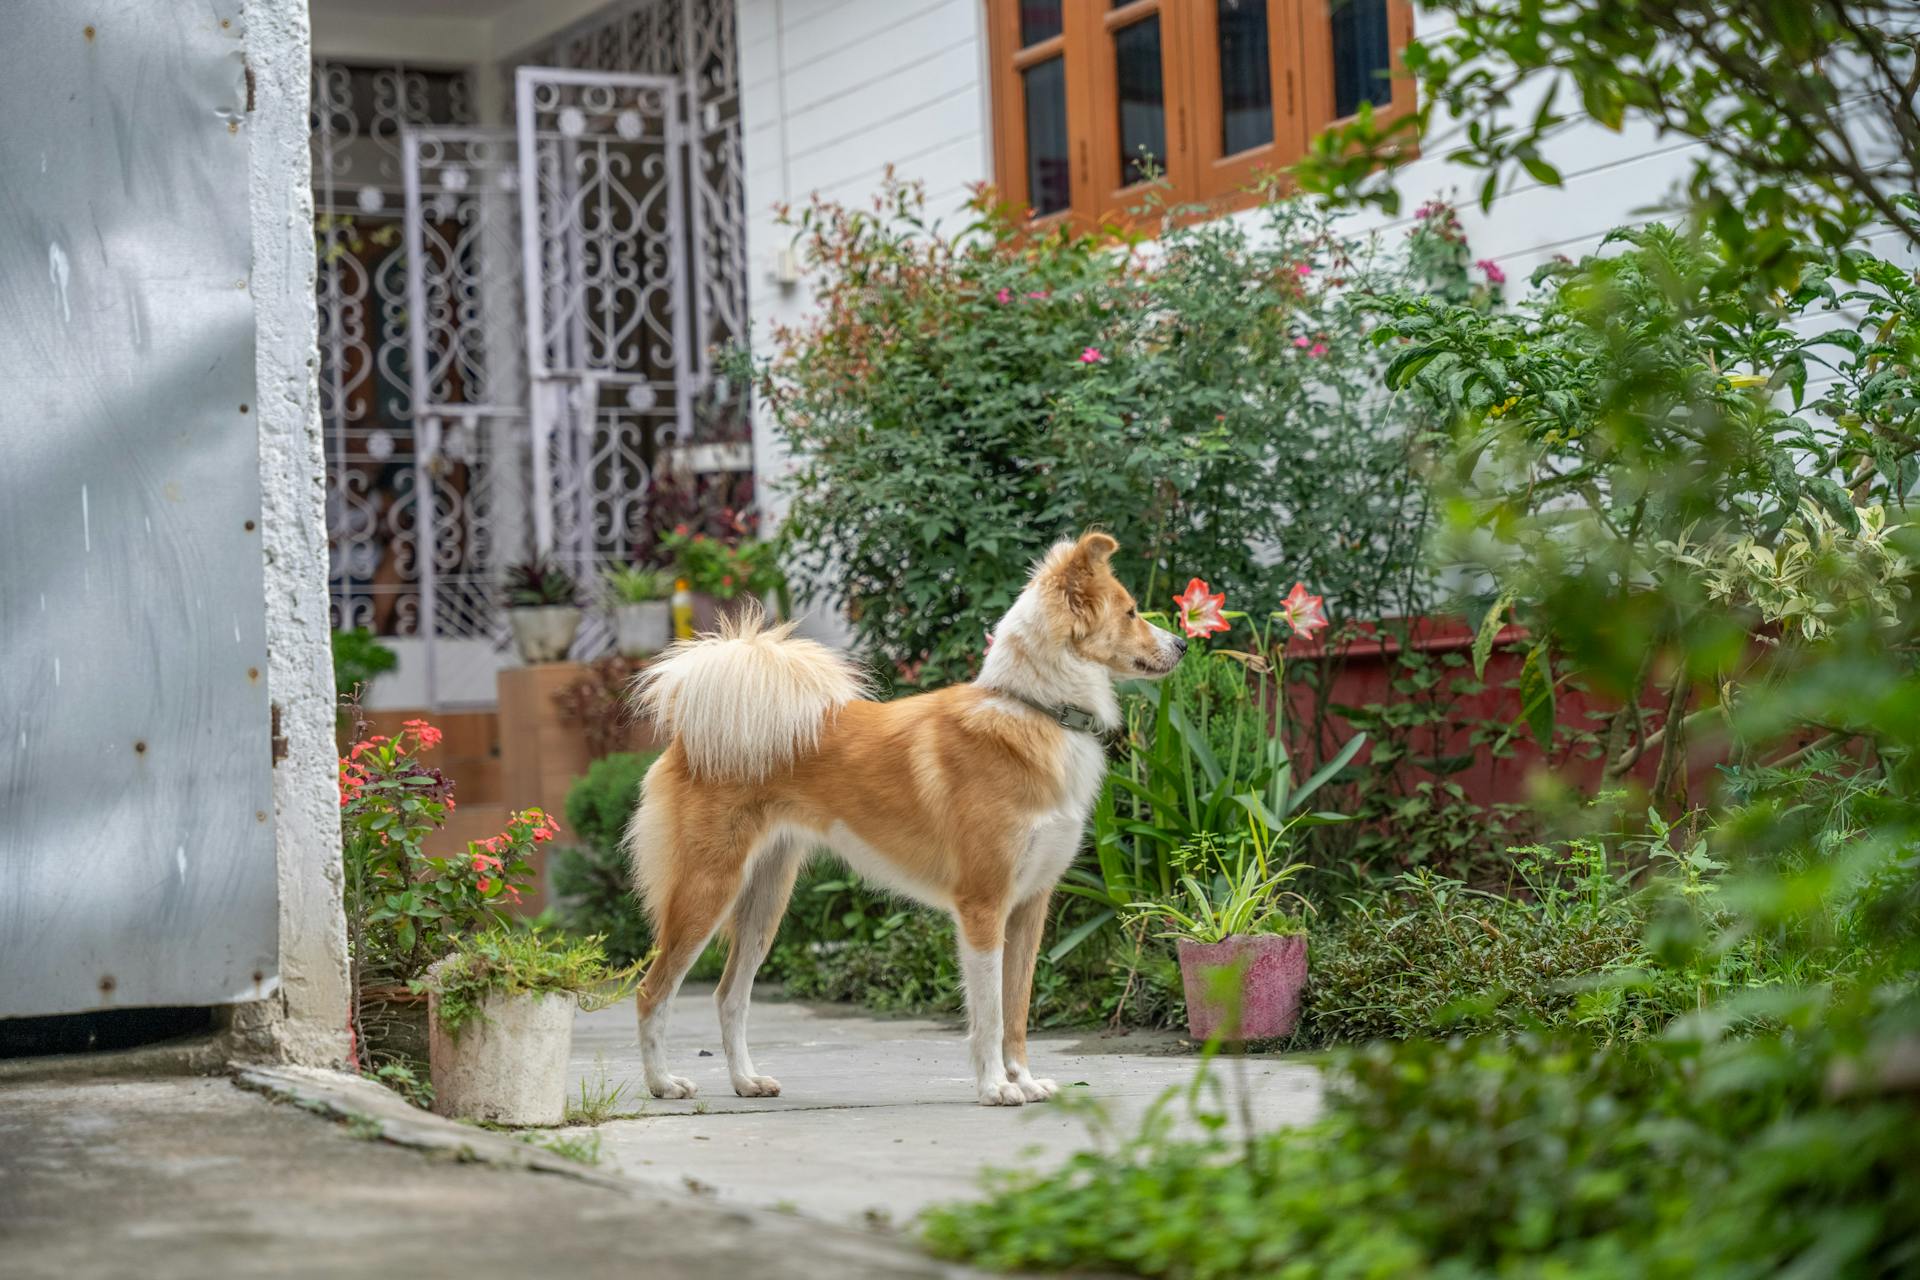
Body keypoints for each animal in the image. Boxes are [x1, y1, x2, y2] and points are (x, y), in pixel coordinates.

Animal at [622, 537, 1182, 1105]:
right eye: (1131, 611)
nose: (1182, 643)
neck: (1035, 709)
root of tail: (695, 737)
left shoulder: (1029, 908)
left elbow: (1018, 1011)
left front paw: (1023, 1080)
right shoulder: (983, 907)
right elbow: (989, 1015)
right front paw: (994, 1087)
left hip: (764, 900)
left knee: (729, 996)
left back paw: (744, 1081)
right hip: (707, 889)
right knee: (652, 991)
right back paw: (663, 1083)